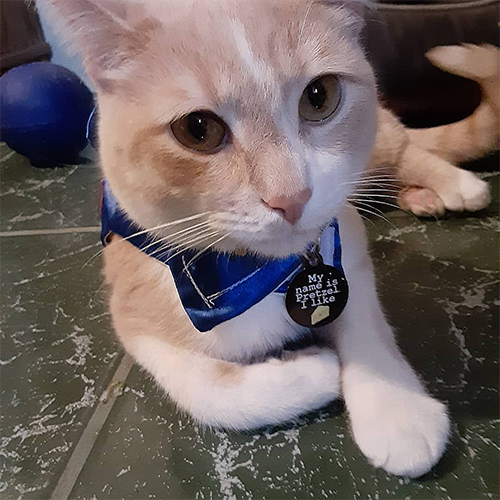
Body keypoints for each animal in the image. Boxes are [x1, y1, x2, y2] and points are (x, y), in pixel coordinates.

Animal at [43, 0, 454, 476]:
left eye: (320, 96)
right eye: (197, 129)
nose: (290, 197)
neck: (252, 273)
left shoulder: (343, 236)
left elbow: (364, 317)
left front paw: (397, 408)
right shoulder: (131, 303)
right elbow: (203, 387)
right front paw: (314, 370)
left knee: (406, 146)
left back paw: (456, 187)